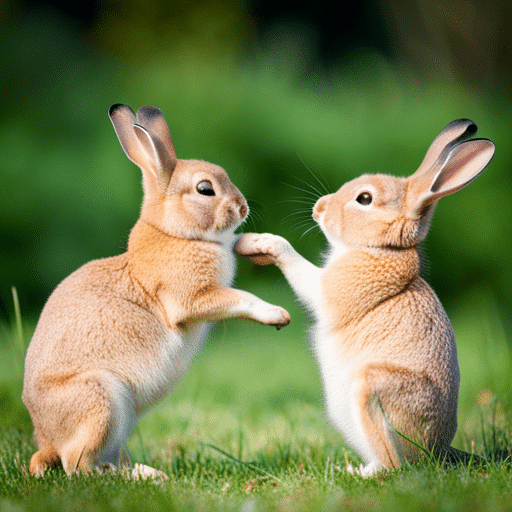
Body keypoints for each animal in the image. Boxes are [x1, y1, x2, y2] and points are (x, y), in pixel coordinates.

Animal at [23, 105, 292, 480]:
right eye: (205, 189)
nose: (242, 208)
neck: (176, 233)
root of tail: (46, 440)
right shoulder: (192, 298)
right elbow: (240, 299)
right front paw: (277, 315)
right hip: (101, 401)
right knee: (78, 464)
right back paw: (143, 475)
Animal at [237, 119, 496, 476]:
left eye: (364, 198)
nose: (320, 208)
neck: (380, 246)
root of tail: (436, 450)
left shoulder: (331, 288)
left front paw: (262, 242)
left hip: (369, 387)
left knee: (394, 463)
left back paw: (363, 474)